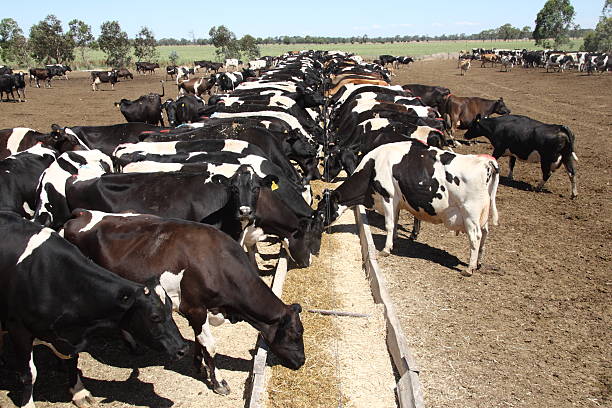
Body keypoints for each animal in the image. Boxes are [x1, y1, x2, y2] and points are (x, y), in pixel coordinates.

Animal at [0, 212, 186, 408]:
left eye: (170, 310)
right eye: (155, 317)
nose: (183, 349)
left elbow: (73, 360)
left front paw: (78, 391)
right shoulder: (17, 328)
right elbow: (29, 374)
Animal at [318, 141, 500, 278]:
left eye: (321, 210)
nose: (321, 227)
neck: (374, 165)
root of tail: (485, 162)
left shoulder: (388, 196)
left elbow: (389, 224)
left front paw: (386, 249)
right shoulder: (397, 201)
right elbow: (395, 220)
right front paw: (394, 241)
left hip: (470, 213)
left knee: (475, 237)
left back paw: (469, 268)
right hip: (481, 216)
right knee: (485, 234)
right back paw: (478, 262)